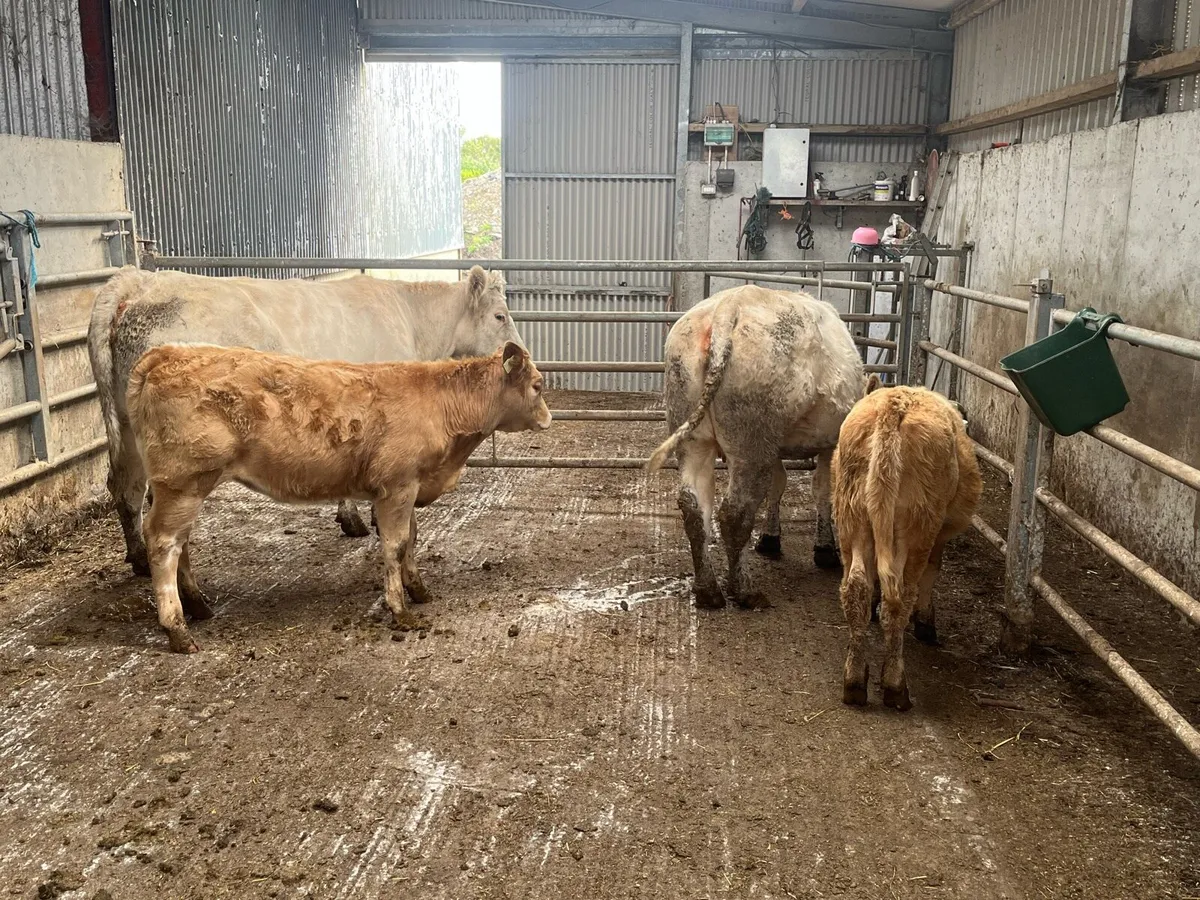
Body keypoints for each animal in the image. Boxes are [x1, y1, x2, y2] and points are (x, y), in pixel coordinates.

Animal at [88, 265, 524, 577]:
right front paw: (366, 517)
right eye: (500, 315)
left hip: (127, 425)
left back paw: (139, 560)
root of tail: (141, 281)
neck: (413, 322)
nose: (520, 353)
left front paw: (350, 517)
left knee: (125, 488)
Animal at [126, 341, 551, 654]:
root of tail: (165, 352)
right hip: (183, 483)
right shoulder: (397, 487)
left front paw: (418, 589)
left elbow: (411, 540)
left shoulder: (409, 484)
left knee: (181, 542)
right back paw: (178, 629)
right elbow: (395, 546)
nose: (549, 418)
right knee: (164, 543)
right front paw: (400, 609)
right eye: (538, 385)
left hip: (185, 488)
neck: (443, 405)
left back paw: (198, 605)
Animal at [647, 285, 864, 609]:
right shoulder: (829, 444)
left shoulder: (776, 449)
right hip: (751, 444)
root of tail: (727, 310)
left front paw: (771, 538)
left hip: (694, 437)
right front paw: (825, 549)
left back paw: (708, 590)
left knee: (693, 506)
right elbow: (822, 490)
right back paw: (744, 591)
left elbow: (779, 485)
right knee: (734, 513)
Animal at [832, 378, 982, 711]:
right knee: (900, 596)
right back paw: (895, 685)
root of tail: (894, 405)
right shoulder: (938, 536)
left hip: (852, 516)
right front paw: (926, 621)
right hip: (918, 527)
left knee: (856, 587)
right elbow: (933, 571)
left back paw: (854, 679)